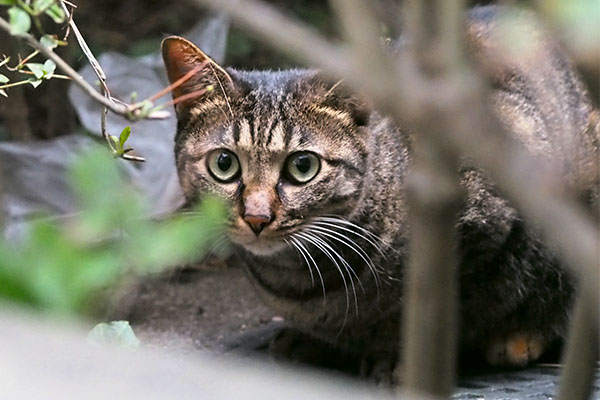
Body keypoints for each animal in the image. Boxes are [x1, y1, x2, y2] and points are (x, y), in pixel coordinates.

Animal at [162, 6, 596, 382]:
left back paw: (519, 338)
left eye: (302, 167)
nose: (256, 217)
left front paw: (400, 357)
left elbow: (443, 308)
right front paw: (316, 341)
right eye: (224, 164)